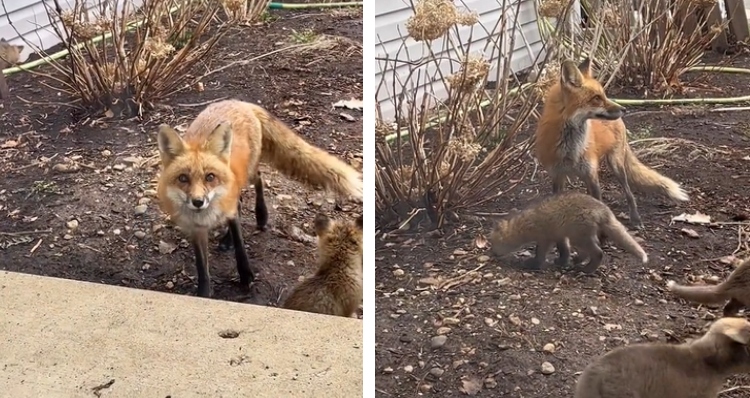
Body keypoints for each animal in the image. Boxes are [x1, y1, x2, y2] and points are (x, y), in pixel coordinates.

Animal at [156, 99, 364, 298]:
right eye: (183, 178)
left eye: (210, 177)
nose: (198, 202)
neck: (207, 215)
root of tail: (238, 101)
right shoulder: (195, 229)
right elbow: (202, 268)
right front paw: (204, 294)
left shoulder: (229, 211)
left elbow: (240, 245)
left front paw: (245, 275)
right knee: (241, 200)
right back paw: (227, 238)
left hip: (248, 173)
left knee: (259, 179)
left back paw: (261, 215)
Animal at [490, 192, 648, 274]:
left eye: (493, 243)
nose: (492, 254)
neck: (526, 223)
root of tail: (604, 210)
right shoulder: (560, 236)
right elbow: (564, 251)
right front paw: (562, 262)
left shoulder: (545, 239)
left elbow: (540, 254)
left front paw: (533, 264)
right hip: (579, 237)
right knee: (588, 252)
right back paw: (577, 261)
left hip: (579, 237)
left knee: (598, 253)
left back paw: (587, 270)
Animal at [536, 57, 692, 229]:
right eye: (597, 98)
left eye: (603, 95)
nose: (624, 109)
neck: (570, 149)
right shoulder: (557, 176)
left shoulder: (591, 175)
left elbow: (599, 204)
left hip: (616, 164)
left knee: (629, 193)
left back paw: (636, 219)